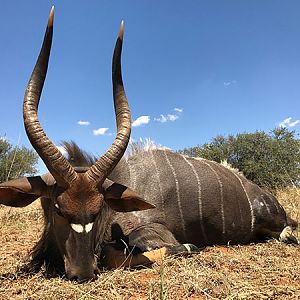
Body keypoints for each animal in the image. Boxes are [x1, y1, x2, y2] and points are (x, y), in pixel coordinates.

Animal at [0, 7, 298, 284]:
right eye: (58, 209)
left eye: (98, 210)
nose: (82, 272)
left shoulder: (155, 232)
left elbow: (118, 253)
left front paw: (189, 246)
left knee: (286, 231)